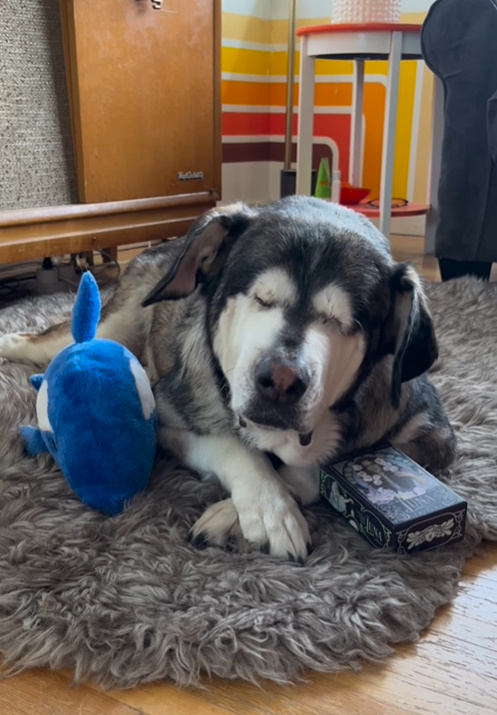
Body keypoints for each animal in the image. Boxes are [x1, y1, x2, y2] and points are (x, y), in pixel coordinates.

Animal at [0, 199, 456, 564]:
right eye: (261, 298)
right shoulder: (166, 416)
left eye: (339, 321)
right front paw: (269, 506)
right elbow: (232, 446)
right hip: (117, 322)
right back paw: (12, 342)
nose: (281, 381)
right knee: (51, 341)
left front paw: (244, 510)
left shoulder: (430, 433)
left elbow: (319, 471)